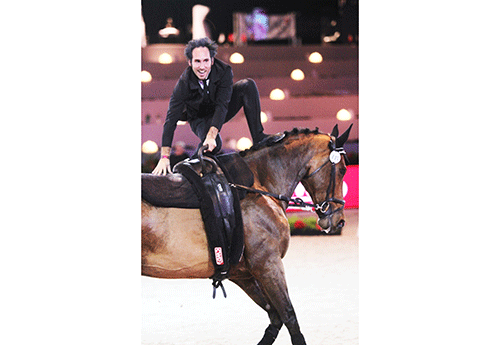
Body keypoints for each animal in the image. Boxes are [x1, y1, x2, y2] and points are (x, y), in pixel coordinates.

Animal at [141, 124, 352, 344]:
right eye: (343, 169)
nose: (339, 220)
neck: (258, 187)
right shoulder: (268, 265)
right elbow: (289, 316)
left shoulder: (243, 274)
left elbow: (275, 317)